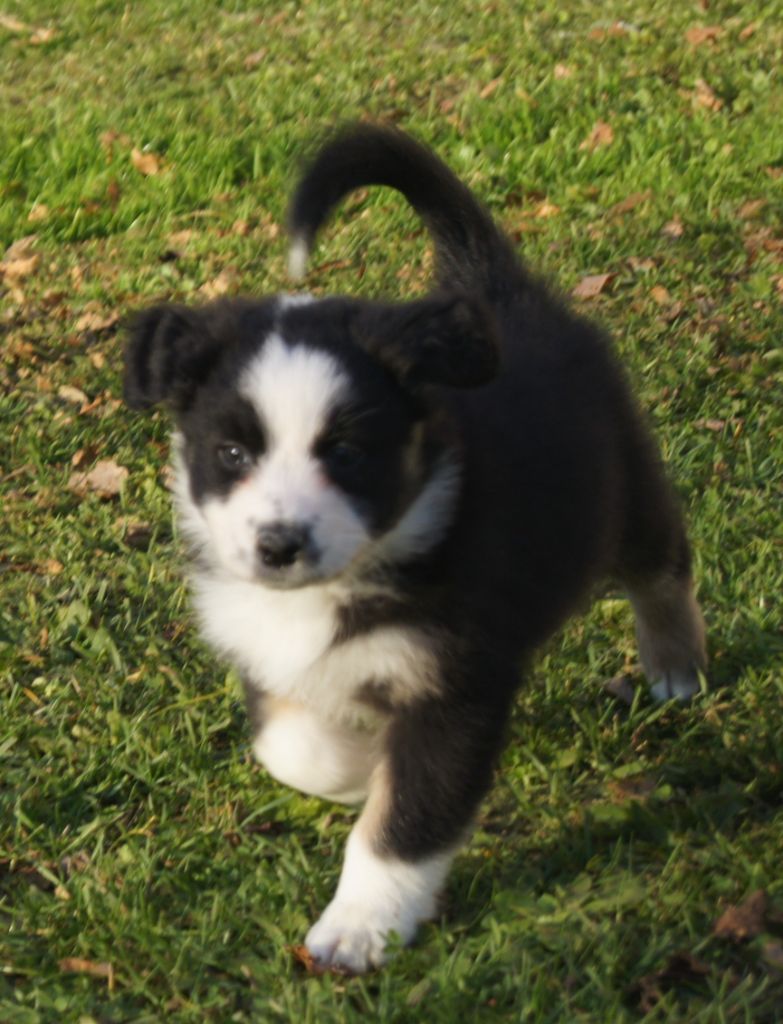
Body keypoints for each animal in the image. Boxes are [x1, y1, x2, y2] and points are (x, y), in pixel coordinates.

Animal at [123, 124, 707, 972]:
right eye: (232, 454)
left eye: (346, 452)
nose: (278, 545)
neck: (344, 583)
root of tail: (500, 290)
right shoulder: (268, 651)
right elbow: (293, 747)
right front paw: (356, 773)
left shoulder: (450, 687)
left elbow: (406, 821)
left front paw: (359, 927)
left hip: (623, 492)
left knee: (664, 567)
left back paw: (674, 669)